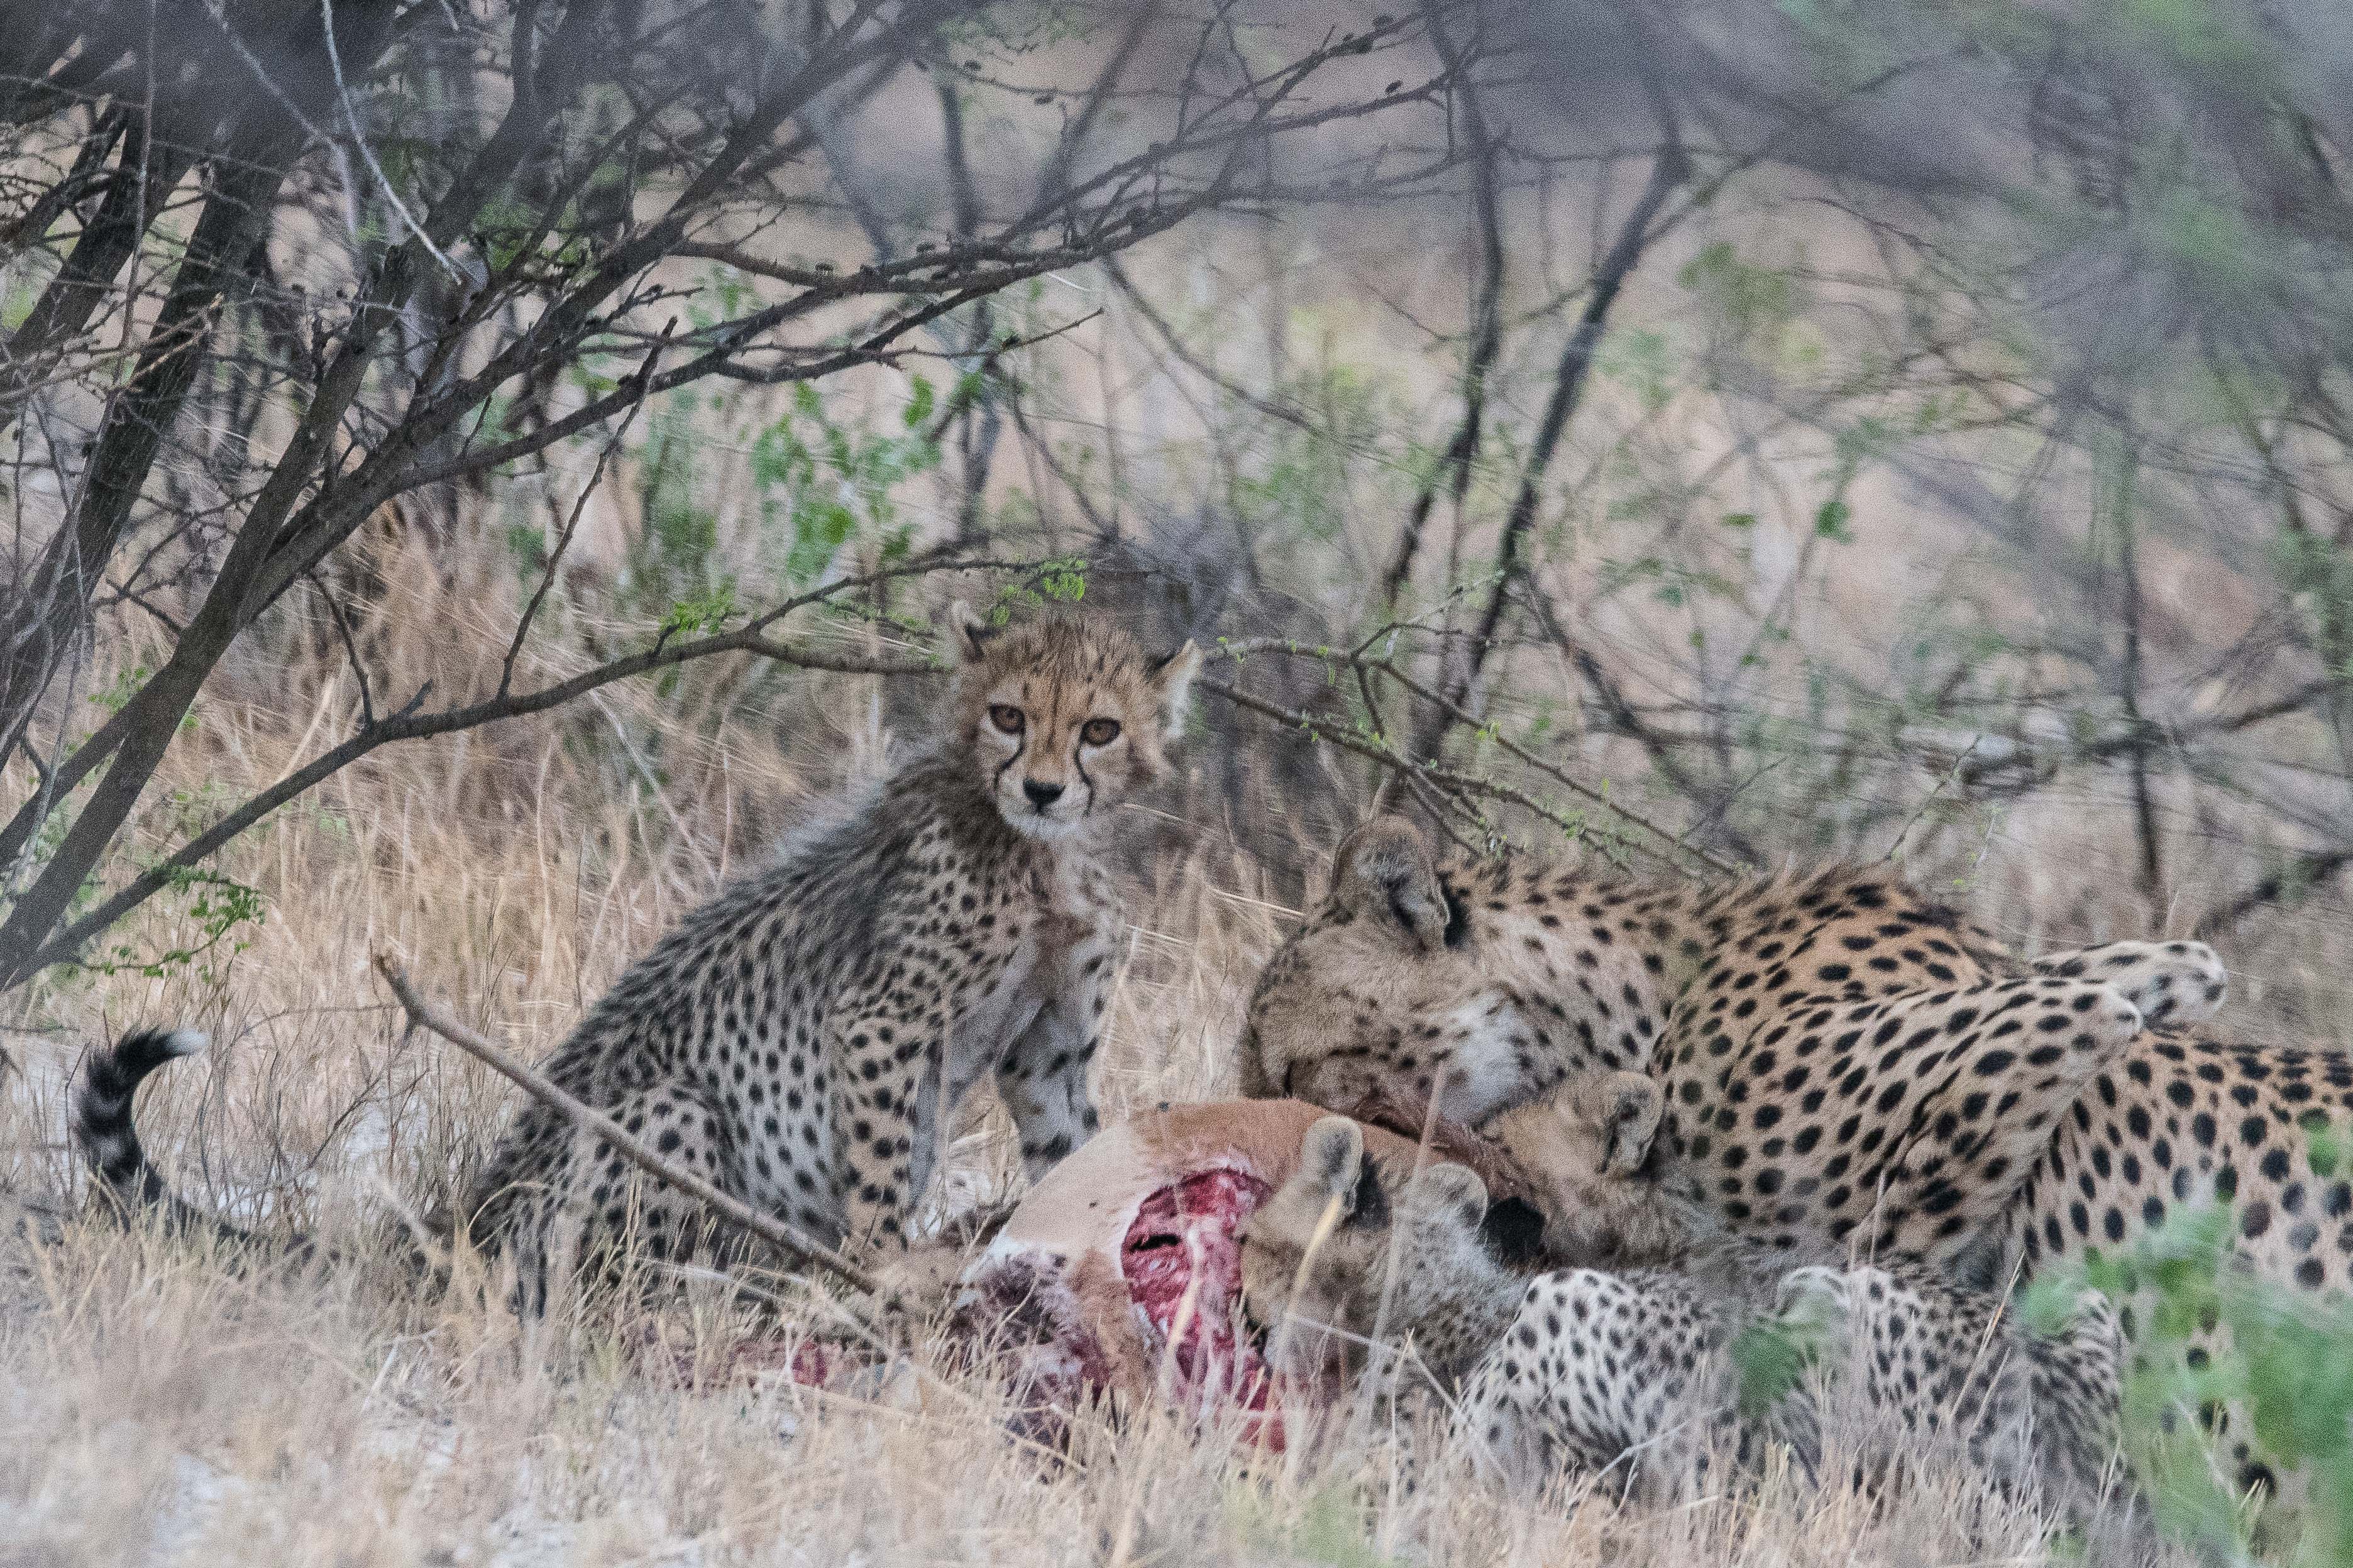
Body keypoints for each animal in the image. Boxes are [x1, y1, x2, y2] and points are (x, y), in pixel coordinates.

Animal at [82, 601, 1204, 1288]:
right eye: (1009, 713)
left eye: (1099, 728)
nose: (1044, 786)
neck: (1043, 851)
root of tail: (467, 1216)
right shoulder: (881, 1018)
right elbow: (882, 1167)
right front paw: (888, 1268)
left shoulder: (1048, 1044)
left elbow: (1076, 1145)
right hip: (670, 1112)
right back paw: (726, 1274)